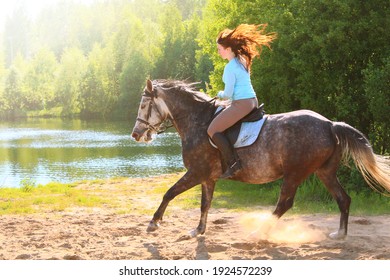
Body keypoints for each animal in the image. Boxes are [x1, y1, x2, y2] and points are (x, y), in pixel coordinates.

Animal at [132, 80, 390, 240]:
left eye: (144, 105)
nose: (135, 134)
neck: (197, 121)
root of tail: (329, 124)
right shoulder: (208, 177)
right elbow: (205, 204)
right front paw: (198, 230)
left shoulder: (196, 172)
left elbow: (169, 193)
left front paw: (154, 222)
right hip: (324, 172)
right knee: (343, 199)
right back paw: (340, 234)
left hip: (295, 174)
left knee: (284, 204)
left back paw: (259, 232)